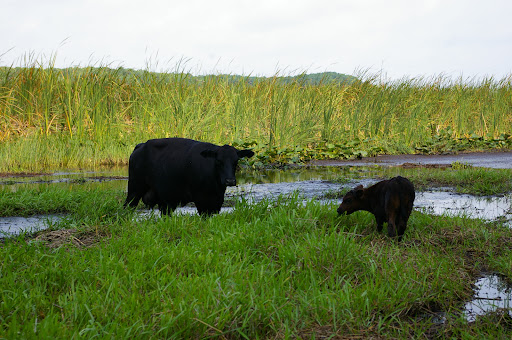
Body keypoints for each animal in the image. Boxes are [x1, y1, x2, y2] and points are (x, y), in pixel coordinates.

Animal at [125, 137, 255, 215]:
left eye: (236, 161)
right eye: (218, 161)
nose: (230, 180)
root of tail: (140, 146)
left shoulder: (216, 201)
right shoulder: (201, 199)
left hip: (165, 198)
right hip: (134, 189)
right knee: (127, 208)